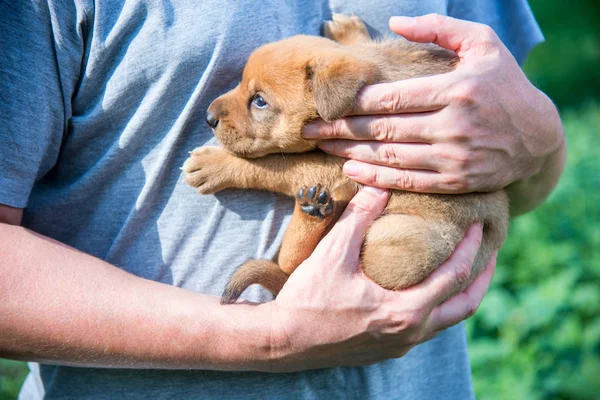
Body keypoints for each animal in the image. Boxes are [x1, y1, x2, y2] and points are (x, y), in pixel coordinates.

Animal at [185, 14, 508, 304]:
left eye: (260, 101)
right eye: (241, 83)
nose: (208, 117)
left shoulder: (341, 167)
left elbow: (273, 165)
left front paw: (212, 165)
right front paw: (349, 31)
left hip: (408, 241)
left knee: (293, 266)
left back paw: (313, 212)